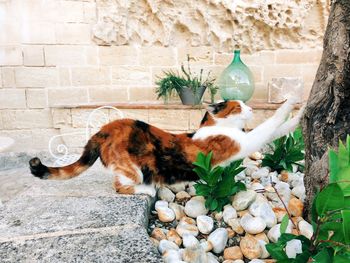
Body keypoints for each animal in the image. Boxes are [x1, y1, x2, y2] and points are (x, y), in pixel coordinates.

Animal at [30, 100, 302, 197]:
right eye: (238, 106)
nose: (252, 109)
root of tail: (104, 129)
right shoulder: (243, 143)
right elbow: (270, 125)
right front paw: (293, 100)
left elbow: (278, 130)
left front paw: (299, 119)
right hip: (133, 168)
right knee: (120, 185)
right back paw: (146, 189)